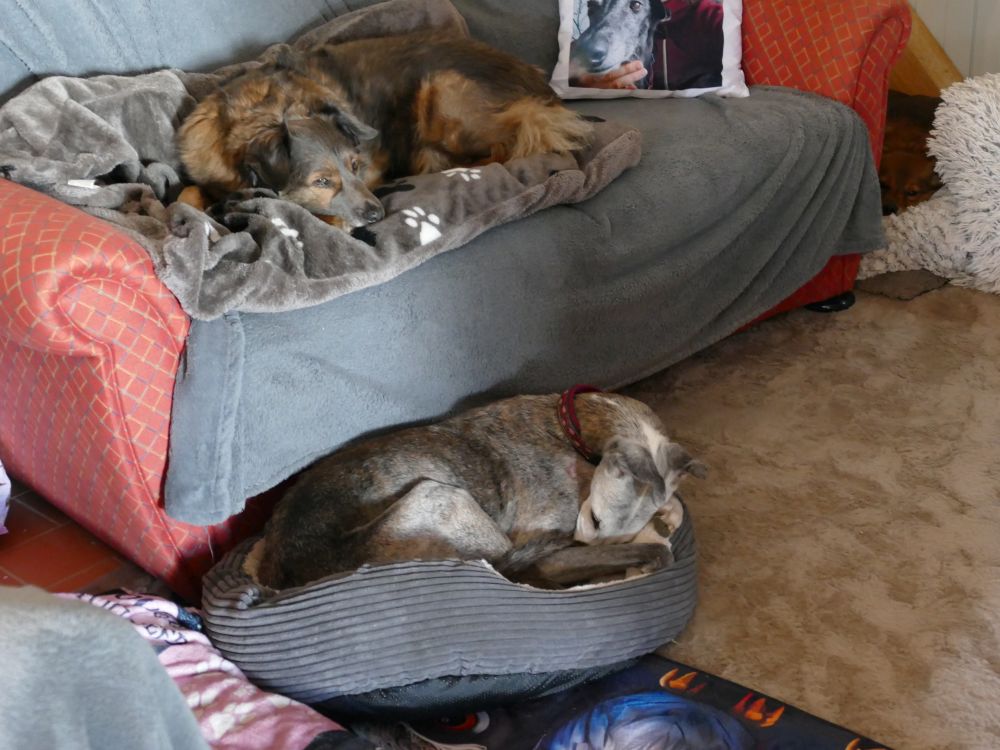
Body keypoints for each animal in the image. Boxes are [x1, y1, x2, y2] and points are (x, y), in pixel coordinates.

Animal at [177, 30, 592, 229]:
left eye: (355, 166)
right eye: (322, 181)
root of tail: (541, 86)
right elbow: (187, 192)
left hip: (443, 91)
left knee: (507, 146)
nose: (378, 214)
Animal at [252, 392, 705, 590]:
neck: (571, 430)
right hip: (445, 501)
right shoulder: (543, 551)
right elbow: (658, 551)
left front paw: (667, 516)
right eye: (594, 519)